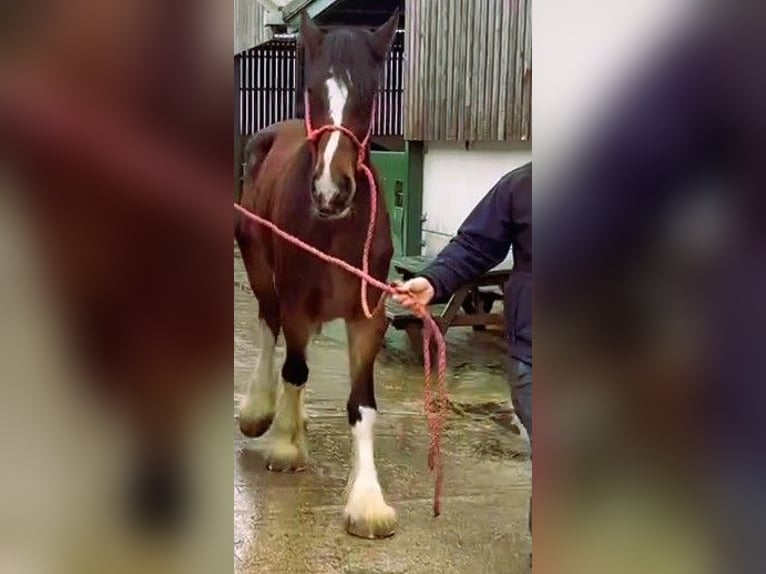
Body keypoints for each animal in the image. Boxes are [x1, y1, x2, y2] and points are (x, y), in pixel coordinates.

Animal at [234, 11, 400, 539]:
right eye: (312, 90)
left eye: (370, 94)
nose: (331, 191)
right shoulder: (295, 301)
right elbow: (294, 368)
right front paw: (286, 445)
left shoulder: (368, 315)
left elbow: (362, 405)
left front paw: (367, 500)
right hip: (261, 275)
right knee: (271, 334)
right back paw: (262, 411)